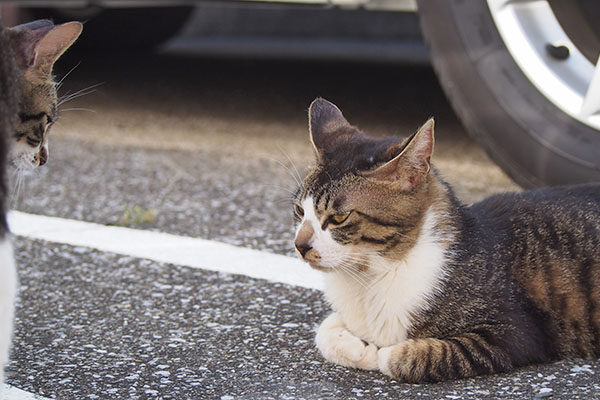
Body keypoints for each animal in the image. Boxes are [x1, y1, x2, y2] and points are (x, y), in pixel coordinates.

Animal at [294, 98, 600, 382]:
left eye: (339, 217)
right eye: (299, 210)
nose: (300, 246)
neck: (372, 277)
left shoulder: (514, 331)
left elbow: (402, 356)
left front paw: (381, 350)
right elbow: (324, 329)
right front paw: (359, 348)